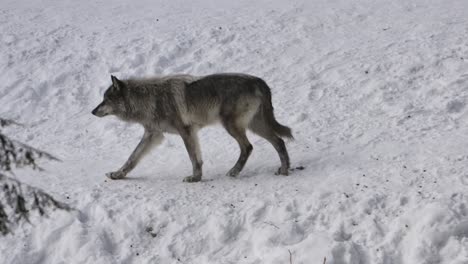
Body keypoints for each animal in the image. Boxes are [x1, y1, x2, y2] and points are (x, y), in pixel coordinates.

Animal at [92, 73, 292, 183]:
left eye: (105, 100)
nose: (92, 111)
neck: (150, 99)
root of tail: (259, 81)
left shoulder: (186, 131)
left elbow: (193, 158)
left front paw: (195, 178)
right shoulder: (153, 135)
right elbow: (132, 158)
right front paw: (117, 174)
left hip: (232, 126)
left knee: (249, 147)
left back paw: (235, 171)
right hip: (254, 126)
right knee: (279, 141)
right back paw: (284, 170)